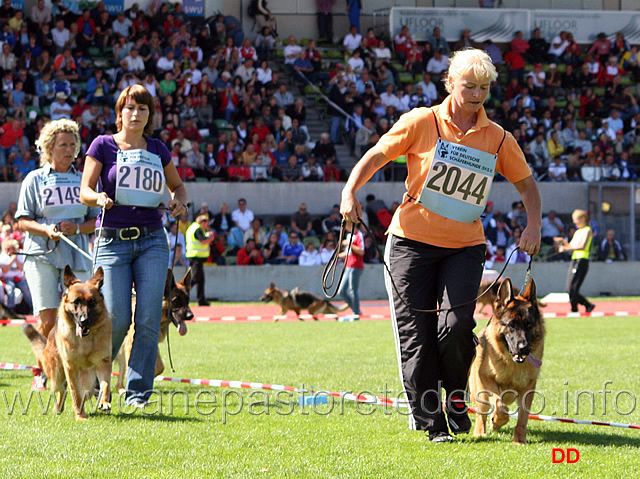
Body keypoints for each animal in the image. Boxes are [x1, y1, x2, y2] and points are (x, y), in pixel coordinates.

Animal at [23, 268, 111, 422]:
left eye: (92, 302)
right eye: (76, 302)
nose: (84, 321)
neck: (85, 341)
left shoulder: (103, 363)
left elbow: (105, 385)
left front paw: (104, 402)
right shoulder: (71, 368)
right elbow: (75, 393)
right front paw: (80, 416)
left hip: (88, 381)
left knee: (84, 392)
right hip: (57, 376)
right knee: (61, 390)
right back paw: (57, 408)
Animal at [470, 280, 544, 444]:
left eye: (528, 325)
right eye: (511, 325)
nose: (524, 348)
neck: (512, 364)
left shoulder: (528, 389)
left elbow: (523, 418)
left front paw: (519, 440)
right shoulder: (487, 379)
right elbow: (499, 403)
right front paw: (498, 420)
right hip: (480, 393)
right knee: (481, 413)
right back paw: (480, 432)